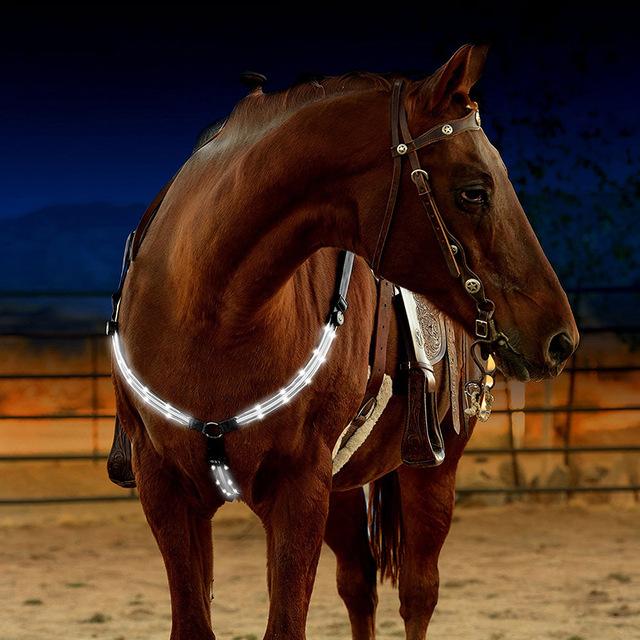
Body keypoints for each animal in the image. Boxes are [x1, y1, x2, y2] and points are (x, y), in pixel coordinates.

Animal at [110, 44, 578, 639]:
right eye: (474, 191)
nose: (560, 339)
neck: (210, 315)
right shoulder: (166, 489)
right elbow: (197, 622)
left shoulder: (300, 488)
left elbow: (287, 623)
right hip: (343, 489)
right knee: (359, 584)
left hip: (431, 469)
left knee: (418, 593)